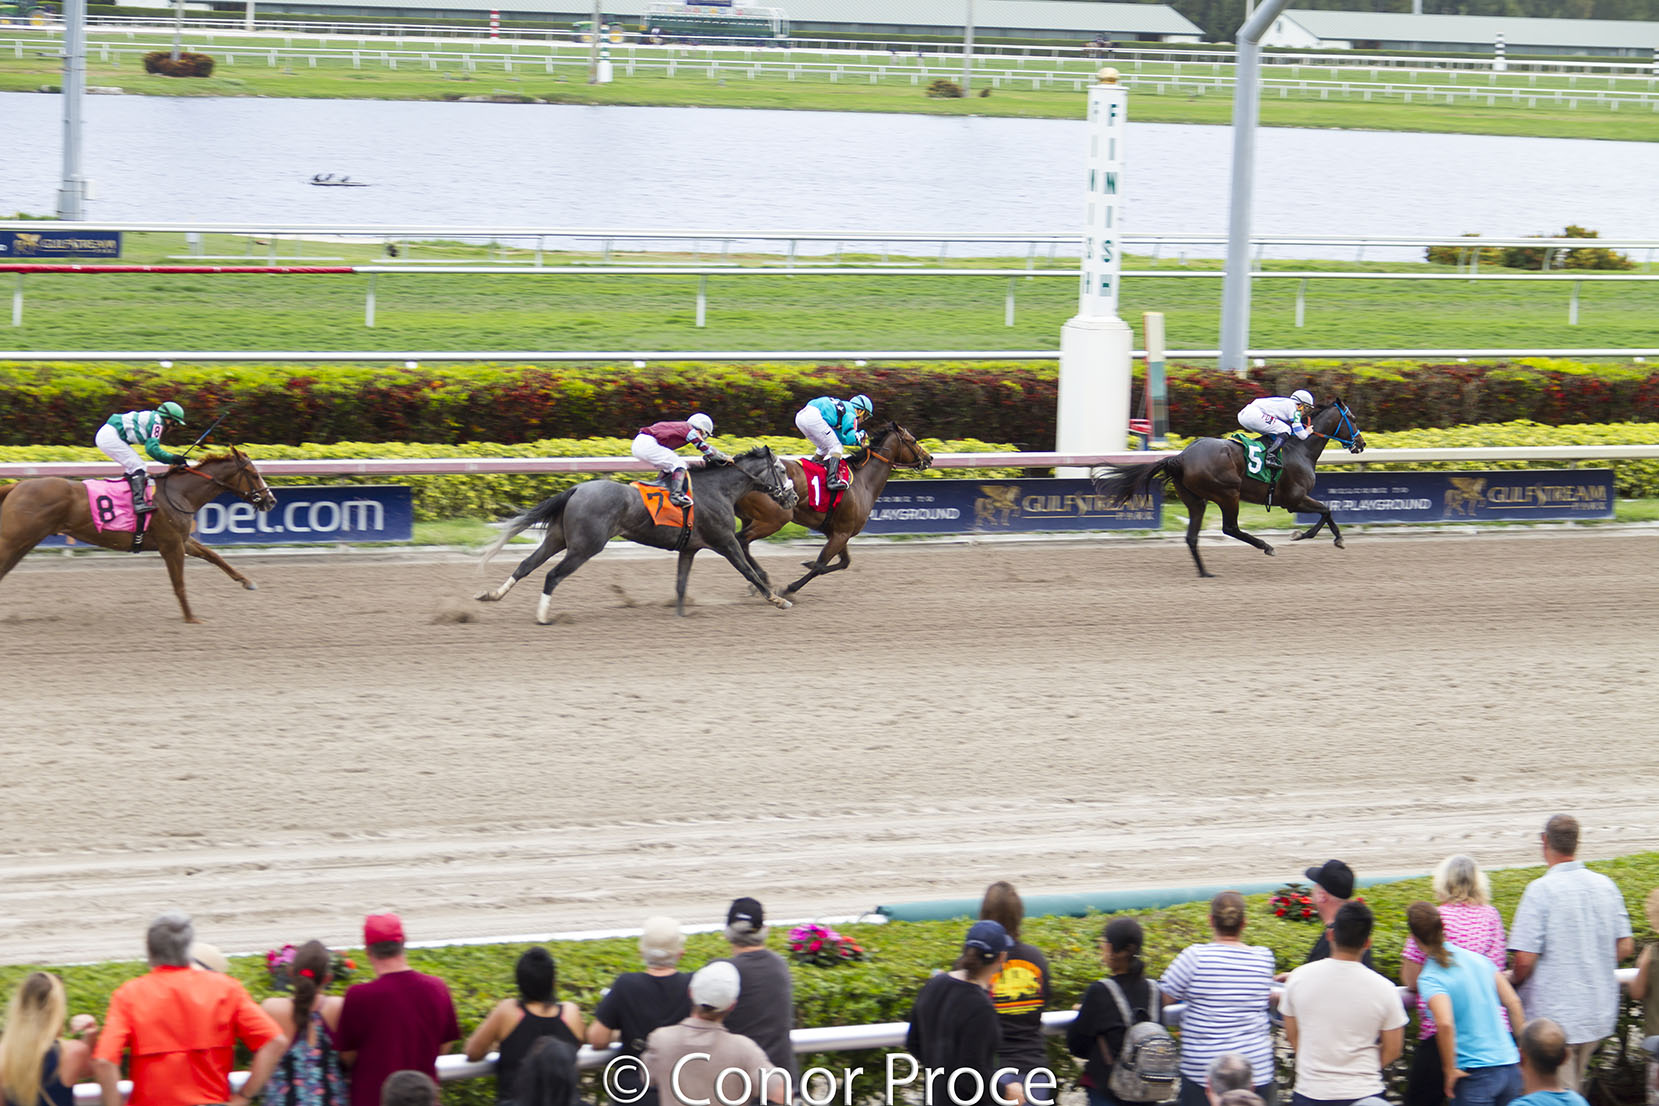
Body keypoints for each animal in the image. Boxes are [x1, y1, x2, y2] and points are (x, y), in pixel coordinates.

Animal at [0, 448, 278, 622]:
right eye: (254, 474)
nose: (271, 500)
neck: (179, 493)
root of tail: (17, 485)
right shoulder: (171, 545)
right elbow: (179, 583)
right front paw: (191, 618)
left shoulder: (182, 540)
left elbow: (213, 555)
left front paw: (247, 581)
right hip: (15, 538)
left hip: (22, 541)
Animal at [476, 446, 800, 623]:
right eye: (783, 470)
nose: (793, 497)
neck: (717, 489)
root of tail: (577, 488)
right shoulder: (725, 541)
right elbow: (749, 571)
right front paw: (777, 599)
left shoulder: (689, 548)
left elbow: (681, 583)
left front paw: (680, 614)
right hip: (584, 546)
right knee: (552, 575)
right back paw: (543, 616)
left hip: (559, 538)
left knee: (526, 565)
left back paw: (491, 594)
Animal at [733, 421, 933, 597]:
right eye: (913, 440)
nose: (929, 458)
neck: (863, 482)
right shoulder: (841, 533)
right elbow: (821, 566)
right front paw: (789, 588)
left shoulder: (838, 532)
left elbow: (844, 562)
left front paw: (807, 563)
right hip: (774, 519)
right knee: (741, 540)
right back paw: (762, 578)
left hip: (750, 517)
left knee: (742, 543)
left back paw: (759, 579)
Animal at [1091, 398, 1367, 578]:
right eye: (1352, 419)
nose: (1361, 444)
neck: (1300, 449)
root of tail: (1180, 457)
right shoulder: (1294, 499)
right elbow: (1327, 510)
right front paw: (1319, 537)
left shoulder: (1295, 500)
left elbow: (1326, 511)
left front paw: (1319, 536)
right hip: (1228, 494)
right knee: (1230, 527)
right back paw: (1266, 547)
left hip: (1196, 500)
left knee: (1192, 537)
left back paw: (1205, 572)